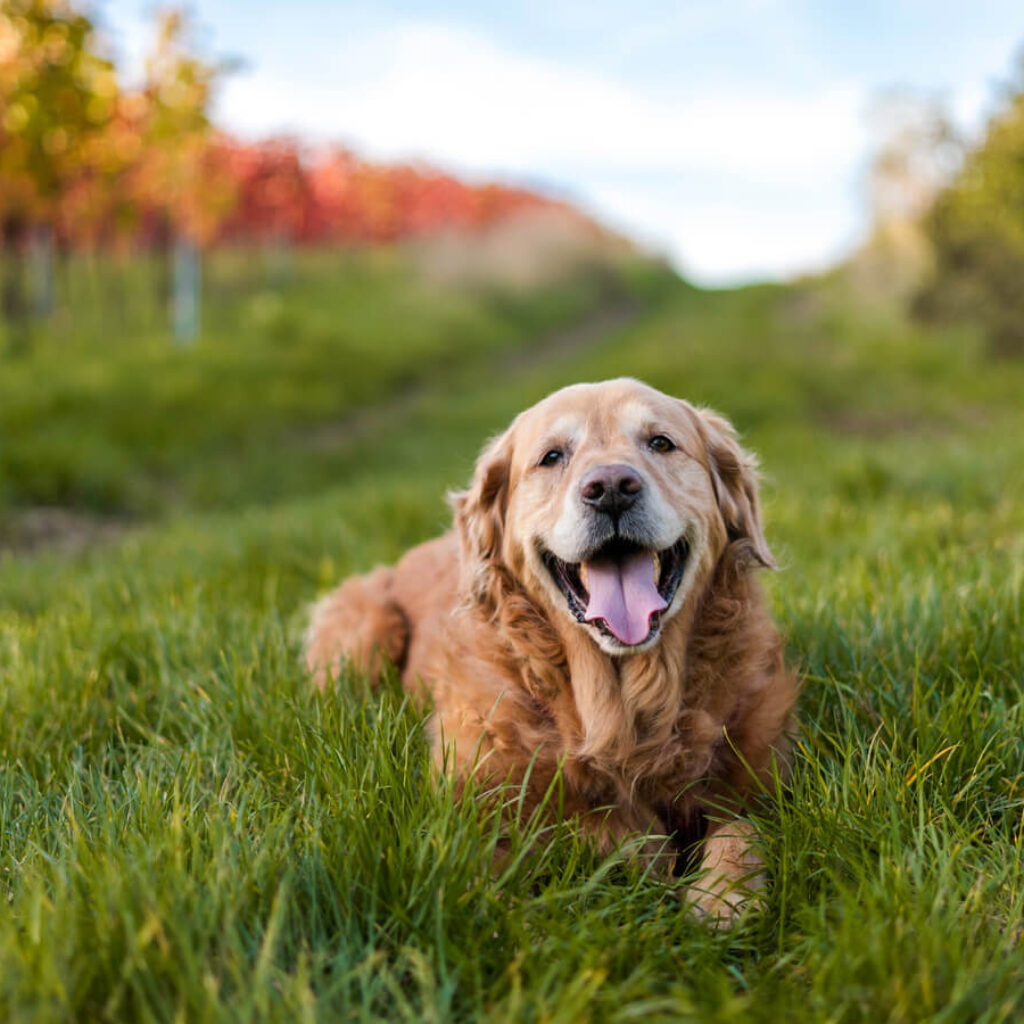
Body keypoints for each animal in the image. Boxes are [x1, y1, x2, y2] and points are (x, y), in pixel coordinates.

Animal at [303, 376, 798, 921]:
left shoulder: (764, 782)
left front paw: (723, 896)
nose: (611, 488)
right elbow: (537, 850)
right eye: (553, 456)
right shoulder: (470, 807)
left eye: (661, 443)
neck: (617, 711)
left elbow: (743, 828)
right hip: (364, 628)